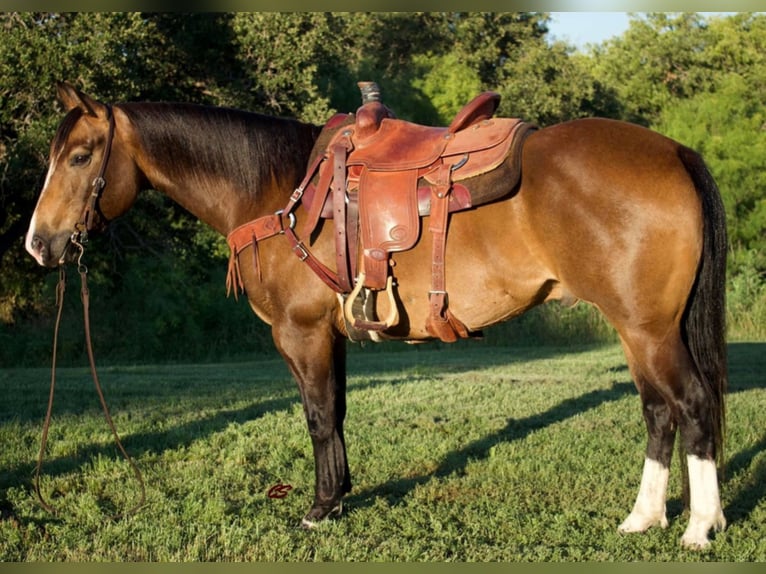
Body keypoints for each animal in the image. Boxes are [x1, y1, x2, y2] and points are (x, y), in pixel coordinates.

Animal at [24, 83, 728, 552]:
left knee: (691, 406)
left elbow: (315, 416)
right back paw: (643, 518)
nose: (38, 244)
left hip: (649, 330)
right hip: (637, 330)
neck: (278, 191)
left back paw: (699, 527)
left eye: (81, 156)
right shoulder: (329, 335)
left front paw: (317, 508)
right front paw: (338, 498)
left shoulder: (300, 334)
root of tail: (674, 151)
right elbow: (334, 413)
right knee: (658, 411)